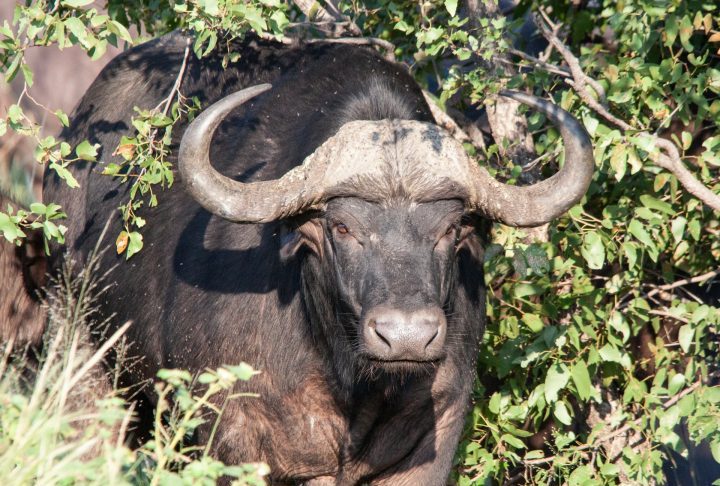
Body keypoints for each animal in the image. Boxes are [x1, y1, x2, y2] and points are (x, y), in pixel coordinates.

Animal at [43, 32, 593, 484]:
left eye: (450, 230)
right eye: (343, 227)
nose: (406, 336)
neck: (347, 382)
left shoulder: (431, 441)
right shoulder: (234, 442)